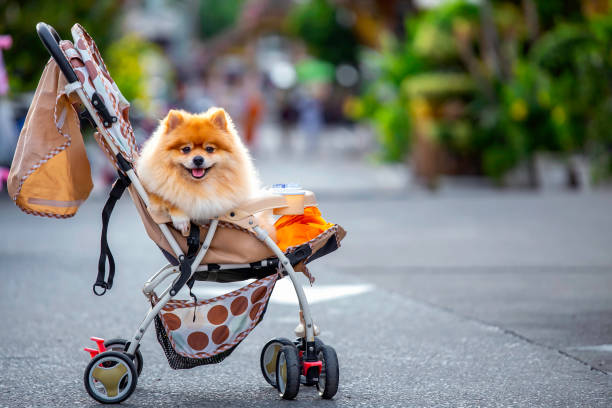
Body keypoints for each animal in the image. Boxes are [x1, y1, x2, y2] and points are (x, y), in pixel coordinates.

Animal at [137, 107, 274, 237]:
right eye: (186, 149)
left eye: (209, 149)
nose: (198, 159)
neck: (199, 186)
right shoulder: (149, 189)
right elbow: (167, 198)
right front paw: (181, 219)